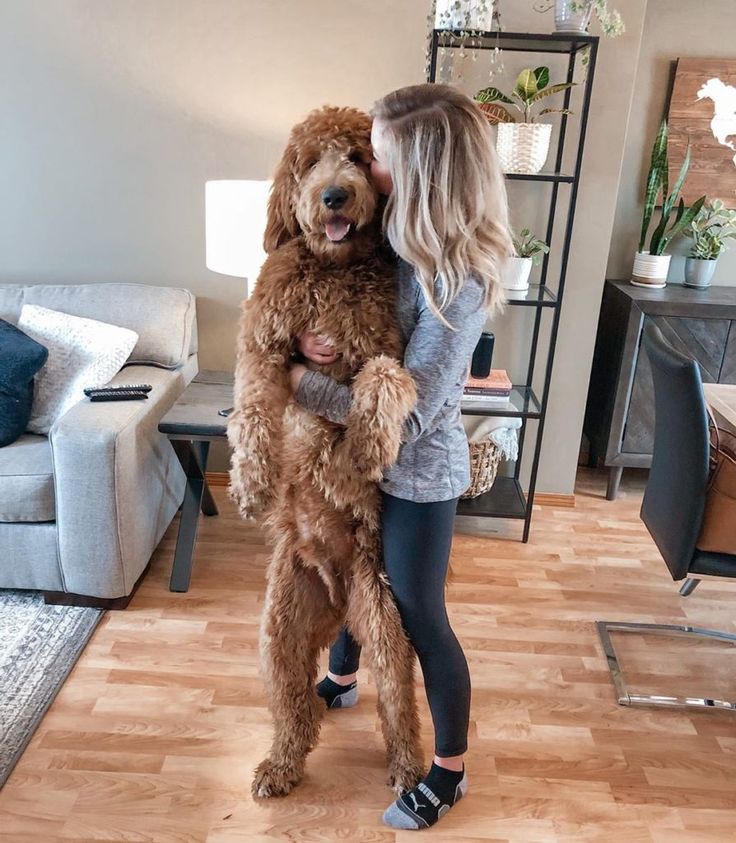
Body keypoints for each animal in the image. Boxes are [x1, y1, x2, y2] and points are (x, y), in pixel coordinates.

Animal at [230, 109, 426, 800]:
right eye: (312, 162)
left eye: (358, 157)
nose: (335, 196)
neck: (333, 270)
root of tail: (339, 597)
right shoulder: (263, 344)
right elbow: (251, 409)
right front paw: (253, 482)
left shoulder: (387, 346)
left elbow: (385, 380)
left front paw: (368, 444)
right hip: (280, 630)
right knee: (295, 710)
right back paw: (278, 764)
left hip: (388, 624)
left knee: (399, 706)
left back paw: (408, 770)